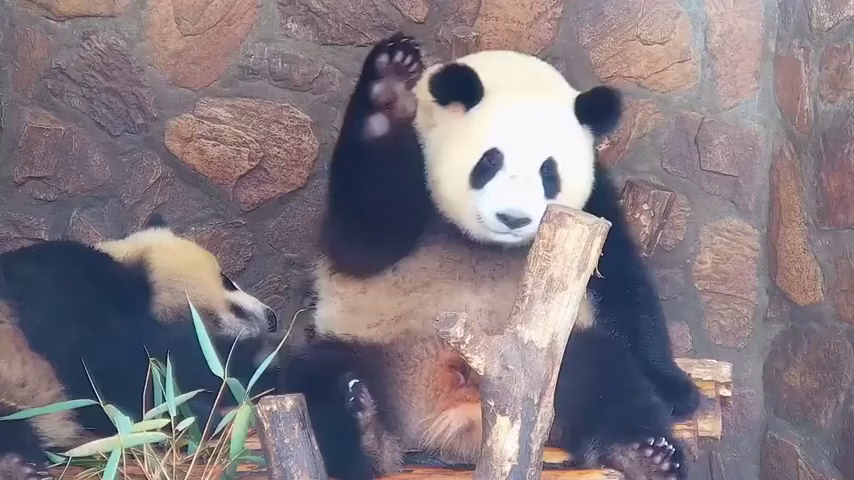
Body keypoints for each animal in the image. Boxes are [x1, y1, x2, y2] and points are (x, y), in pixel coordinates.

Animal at [281, 32, 701, 480]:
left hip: (553, 360)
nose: (513, 218)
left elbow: (623, 282)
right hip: (369, 346)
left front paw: (676, 390)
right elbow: (363, 241)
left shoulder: (595, 204)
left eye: (548, 172)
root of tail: (454, 418)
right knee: (318, 378)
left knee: (607, 373)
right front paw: (388, 92)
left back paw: (644, 455)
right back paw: (364, 432)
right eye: (490, 160)